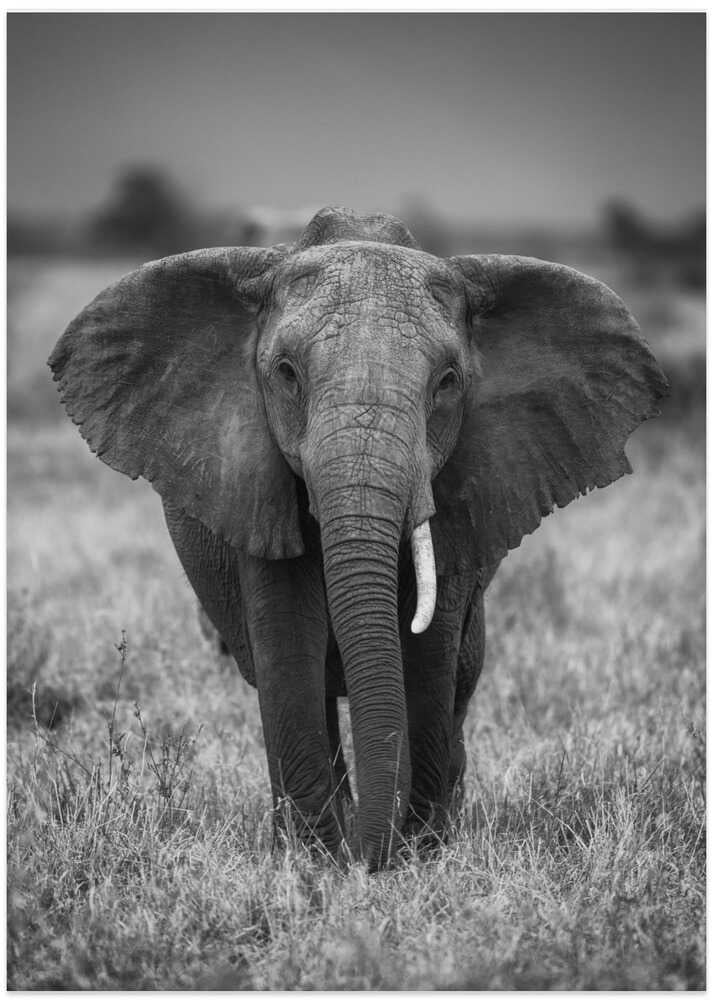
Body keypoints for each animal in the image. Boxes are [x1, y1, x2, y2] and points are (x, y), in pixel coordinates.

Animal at [49, 206, 668, 870]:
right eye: (287, 375)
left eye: (447, 382)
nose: (371, 858)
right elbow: (288, 642)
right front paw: (314, 862)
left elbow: (428, 653)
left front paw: (416, 855)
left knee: (460, 681)